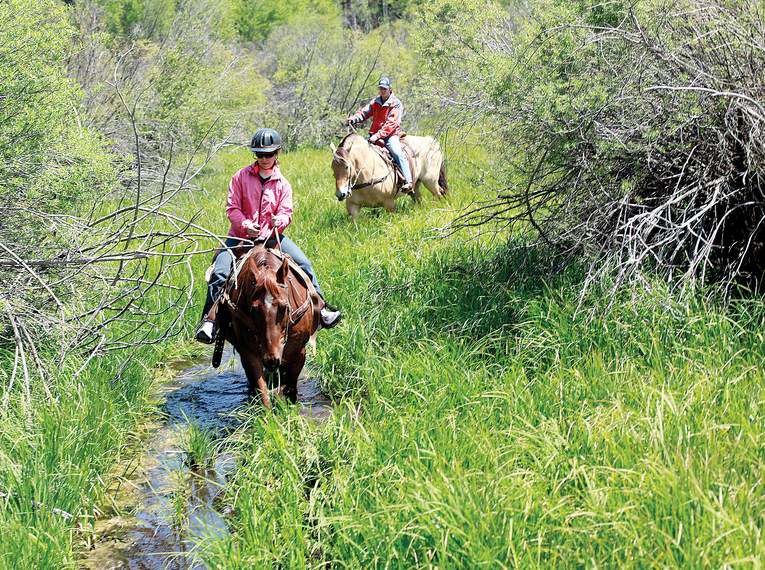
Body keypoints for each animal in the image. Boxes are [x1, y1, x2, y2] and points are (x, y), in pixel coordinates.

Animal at [213, 243, 320, 404]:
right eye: (253, 309)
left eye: (284, 307)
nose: (271, 360)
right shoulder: (248, 353)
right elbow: (262, 391)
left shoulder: (299, 351)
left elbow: (289, 387)